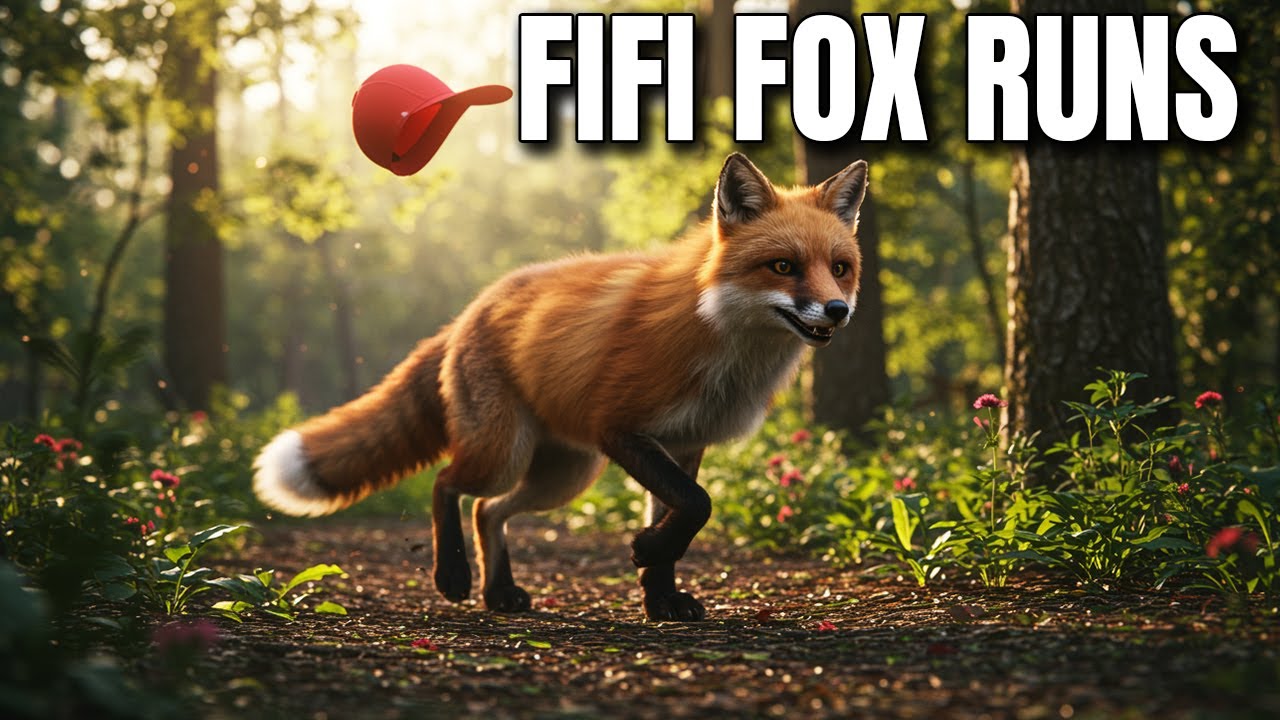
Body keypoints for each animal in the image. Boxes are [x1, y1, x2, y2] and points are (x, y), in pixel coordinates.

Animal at [253, 152, 868, 621]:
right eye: (783, 266)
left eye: (839, 268)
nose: (838, 312)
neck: (717, 333)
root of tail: (472, 308)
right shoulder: (619, 426)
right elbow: (697, 505)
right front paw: (647, 552)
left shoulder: (686, 442)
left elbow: (680, 521)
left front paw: (661, 598)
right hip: (508, 452)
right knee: (448, 485)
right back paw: (453, 573)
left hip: (565, 474)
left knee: (490, 510)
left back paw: (499, 592)